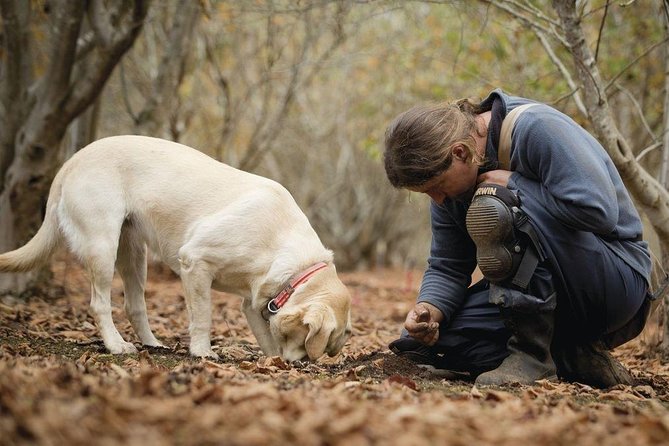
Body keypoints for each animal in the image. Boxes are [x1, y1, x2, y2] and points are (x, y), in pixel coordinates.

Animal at [0, 136, 352, 362]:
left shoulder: (252, 303)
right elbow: (203, 315)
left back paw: (152, 343)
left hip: (134, 253)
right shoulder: (195, 262)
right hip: (103, 245)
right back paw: (116, 345)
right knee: (100, 304)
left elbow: (264, 334)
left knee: (134, 304)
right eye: (309, 342)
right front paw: (202, 351)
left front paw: (272, 359)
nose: (302, 364)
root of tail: (73, 159)